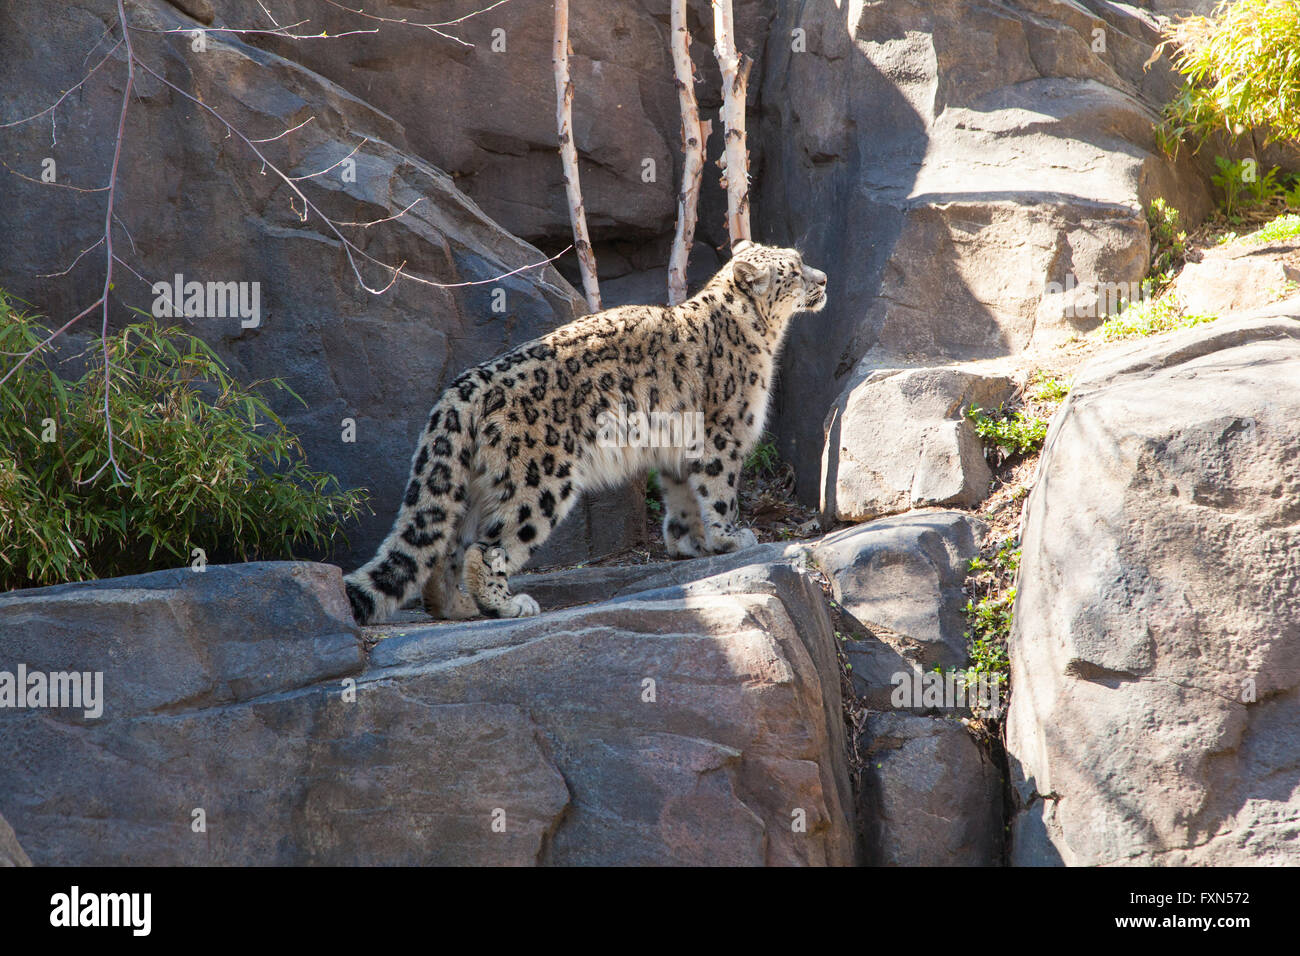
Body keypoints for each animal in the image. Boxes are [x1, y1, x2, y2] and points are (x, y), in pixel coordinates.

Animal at [343, 240, 828, 625]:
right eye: (794, 270)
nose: (823, 278)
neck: (762, 336)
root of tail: (467, 385)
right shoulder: (722, 431)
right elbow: (719, 488)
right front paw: (731, 537)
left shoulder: (677, 445)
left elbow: (682, 496)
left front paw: (689, 543)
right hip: (539, 479)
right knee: (489, 546)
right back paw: (508, 604)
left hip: (476, 482)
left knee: (447, 547)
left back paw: (456, 607)